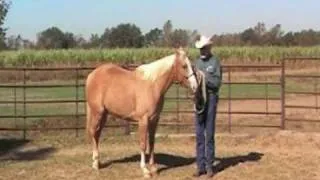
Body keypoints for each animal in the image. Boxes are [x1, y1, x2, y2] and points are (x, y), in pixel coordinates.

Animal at [85, 47, 200, 178]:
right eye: (184, 66)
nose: (195, 86)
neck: (152, 85)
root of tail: (92, 75)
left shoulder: (154, 120)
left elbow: (152, 143)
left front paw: (154, 168)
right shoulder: (143, 120)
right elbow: (143, 144)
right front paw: (145, 170)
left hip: (104, 114)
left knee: (97, 134)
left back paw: (98, 162)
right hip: (97, 113)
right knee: (93, 132)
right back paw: (95, 164)